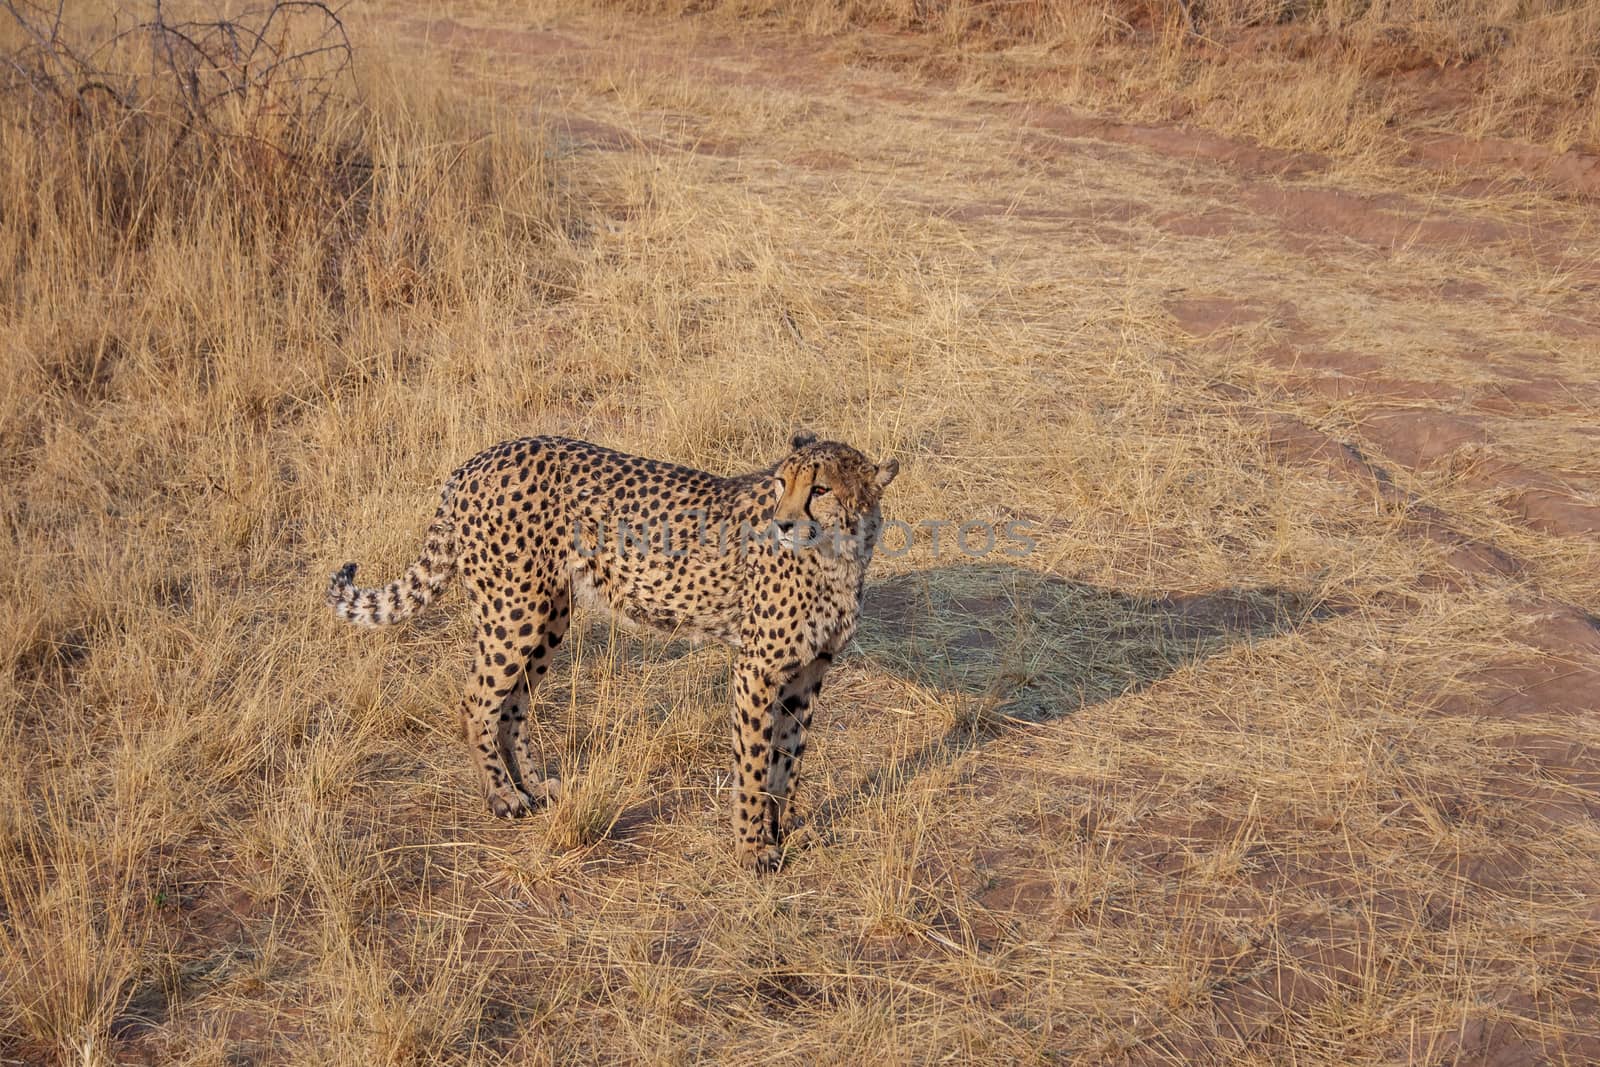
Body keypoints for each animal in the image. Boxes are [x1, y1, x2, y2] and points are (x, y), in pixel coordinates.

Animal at [324, 428, 902, 870]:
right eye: (783, 482)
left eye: (820, 488)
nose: (781, 523)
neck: (837, 555)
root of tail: (479, 459)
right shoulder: (756, 670)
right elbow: (755, 765)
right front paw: (752, 848)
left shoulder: (809, 672)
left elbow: (789, 757)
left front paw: (785, 829)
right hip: (514, 610)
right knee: (476, 700)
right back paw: (502, 794)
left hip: (549, 614)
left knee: (513, 704)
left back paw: (535, 787)